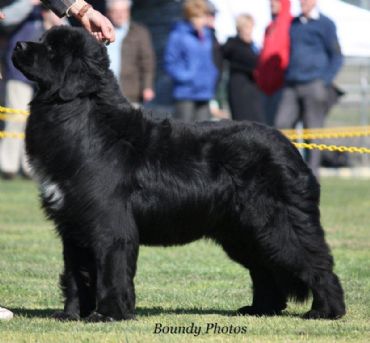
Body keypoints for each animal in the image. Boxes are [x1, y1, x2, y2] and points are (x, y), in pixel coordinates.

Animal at [13, 26, 346, 322]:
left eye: (52, 49)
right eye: (42, 40)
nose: (17, 44)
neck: (85, 118)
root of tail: (291, 147)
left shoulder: (109, 223)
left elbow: (109, 272)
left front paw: (107, 315)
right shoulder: (72, 225)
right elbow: (75, 274)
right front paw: (70, 315)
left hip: (277, 225)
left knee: (316, 262)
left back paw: (326, 311)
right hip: (242, 232)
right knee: (264, 269)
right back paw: (260, 310)